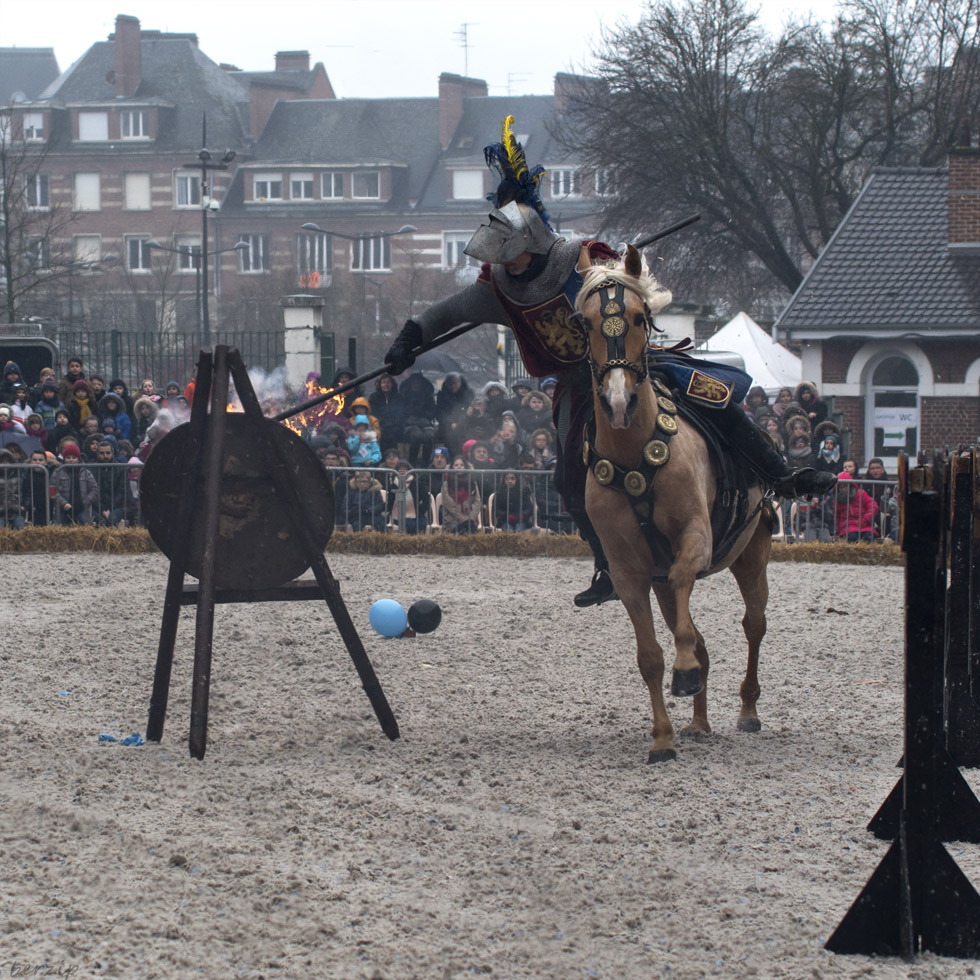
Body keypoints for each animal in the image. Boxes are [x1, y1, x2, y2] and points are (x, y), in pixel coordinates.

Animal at [576, 245, 772, 764]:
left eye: (639, 317)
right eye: (585, 323)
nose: (618, 401)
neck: (634, 455)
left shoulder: (695, 539)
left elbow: (688, 586)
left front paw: (684, 671)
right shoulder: (630, 572)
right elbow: (650, 657)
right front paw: (662, 738)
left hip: (752, 553)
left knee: (754, 624)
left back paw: (747, 710)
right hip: (663, 585)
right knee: (699, 634)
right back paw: (698, 722)